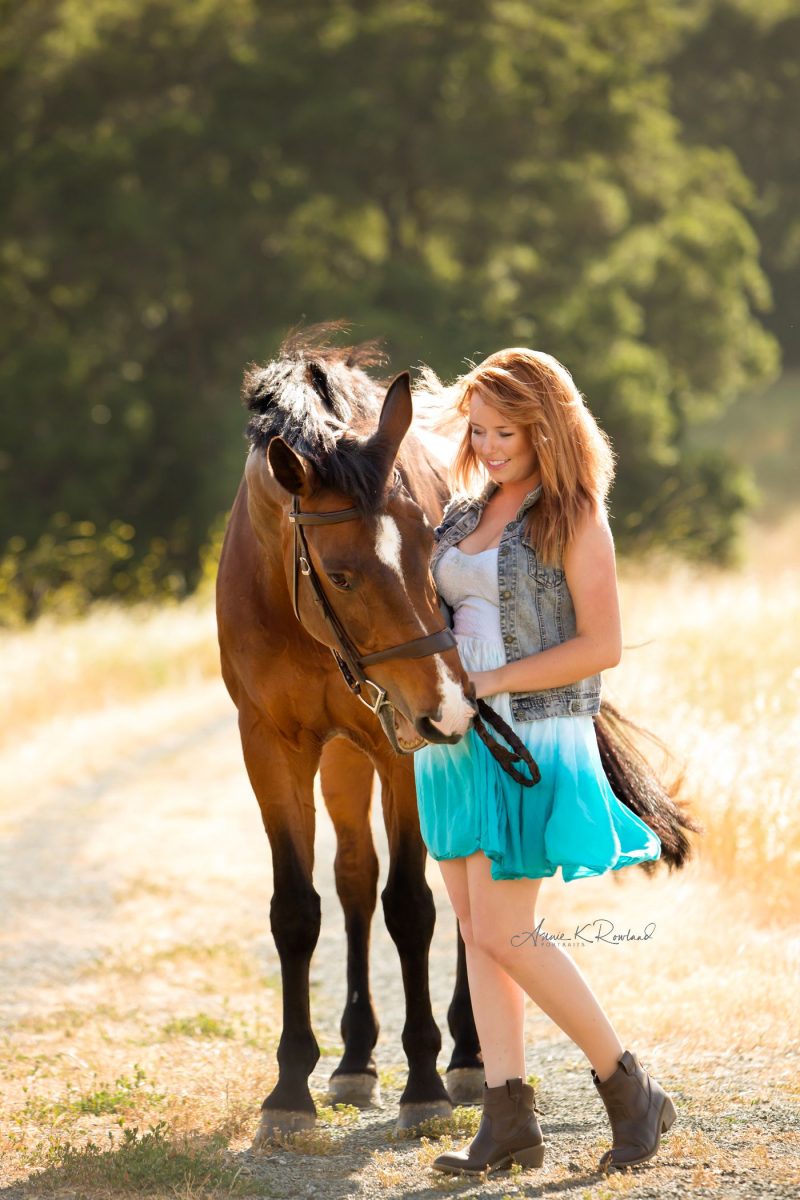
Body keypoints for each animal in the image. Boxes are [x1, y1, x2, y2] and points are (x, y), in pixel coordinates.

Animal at [216, 323, 486, 1145]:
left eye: (434, 545)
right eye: (339, 575)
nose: (450, 708)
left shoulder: (404, 751)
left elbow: (412, 907)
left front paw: (424, 1083)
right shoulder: (271, 749)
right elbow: (299, 909)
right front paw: (289, 1091)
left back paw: (468, 1054)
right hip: (344, 759)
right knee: (355, 879)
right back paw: (356, 1061)